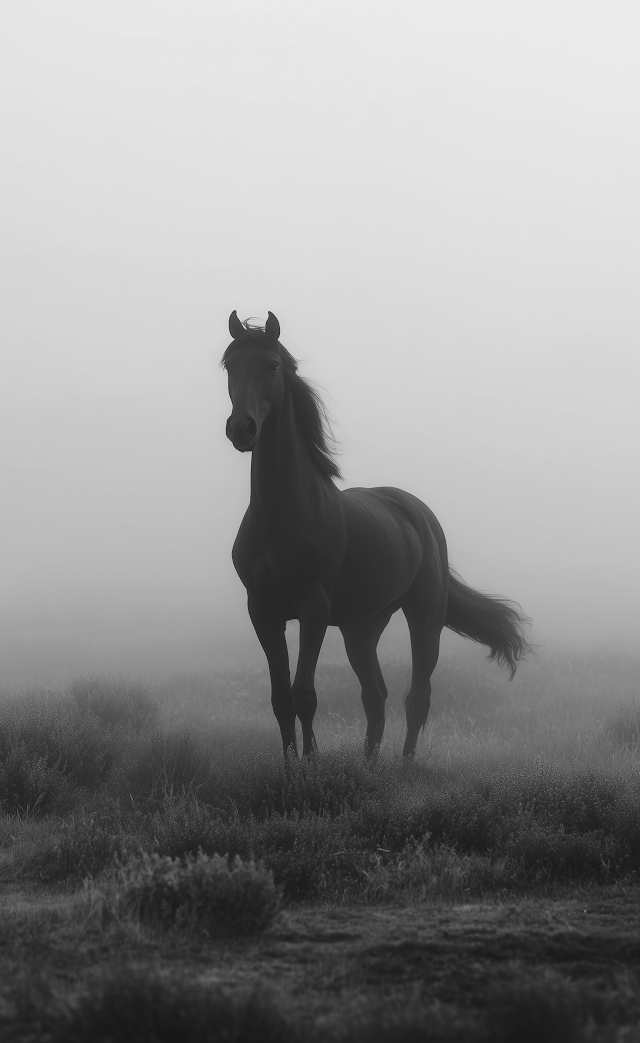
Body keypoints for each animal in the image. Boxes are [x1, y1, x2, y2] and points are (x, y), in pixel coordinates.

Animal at [222, 310, 531, 758]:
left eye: (272, 366)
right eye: (230, 366)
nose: (241, 429)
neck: (278, 516)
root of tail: (420, 515)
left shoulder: (314, 610)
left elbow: (304, 695)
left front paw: (312, 766)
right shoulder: (263, 612)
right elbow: (281, 699)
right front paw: (291, 765)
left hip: (425, 619)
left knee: (417, 697)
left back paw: (404, 765)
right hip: (361, 629)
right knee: (376, 696)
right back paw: (369, 764)